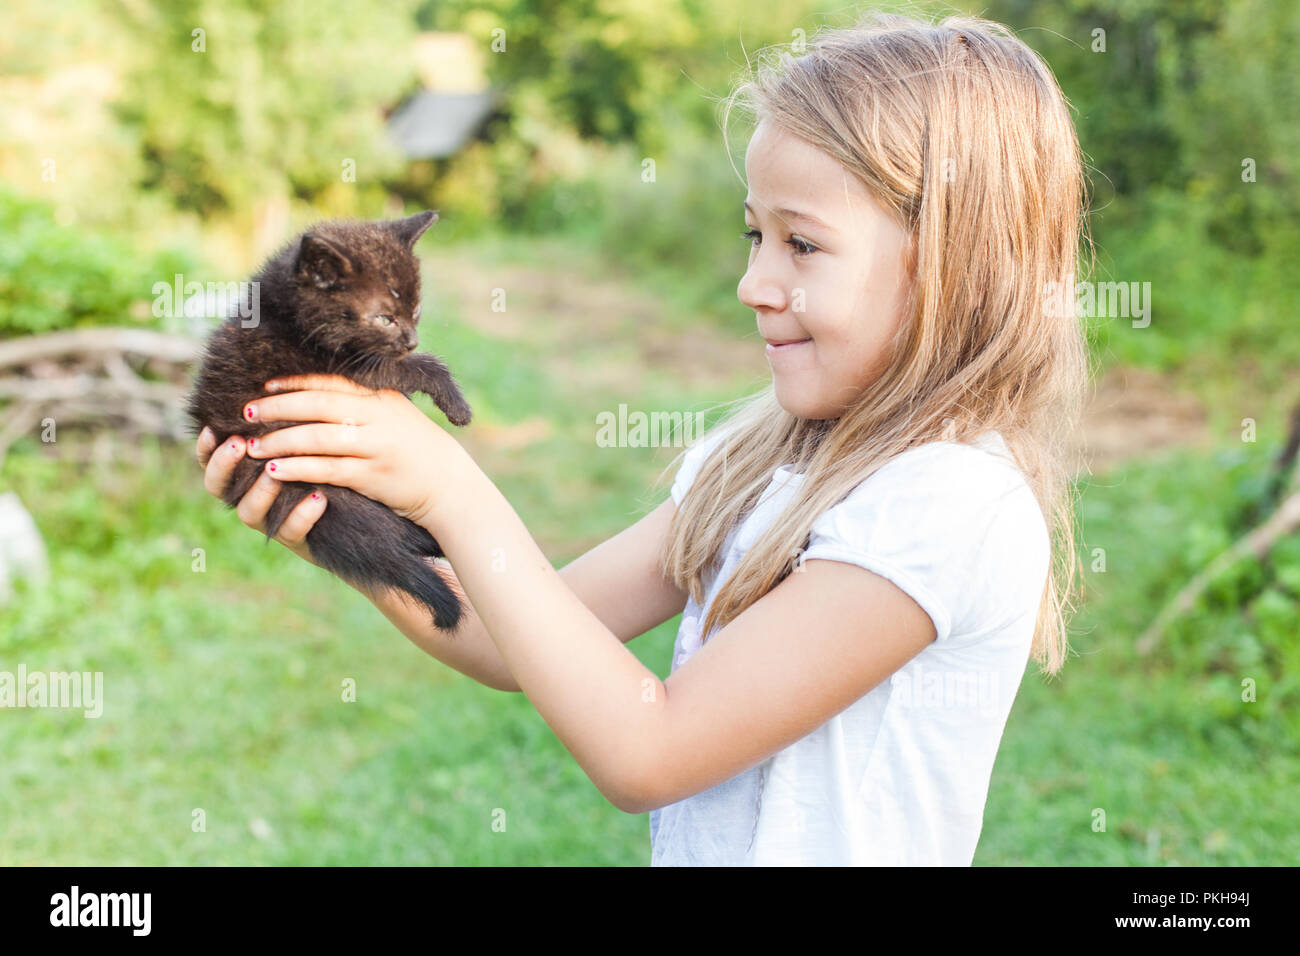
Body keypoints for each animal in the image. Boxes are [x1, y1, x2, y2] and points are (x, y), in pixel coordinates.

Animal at [185, 209, 475, 634]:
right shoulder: (348, 366)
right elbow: (418, 367)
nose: (412, 340)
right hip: (333, 505)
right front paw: (456, 403)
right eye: (385, 318)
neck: (288, 312)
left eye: (416, 311)